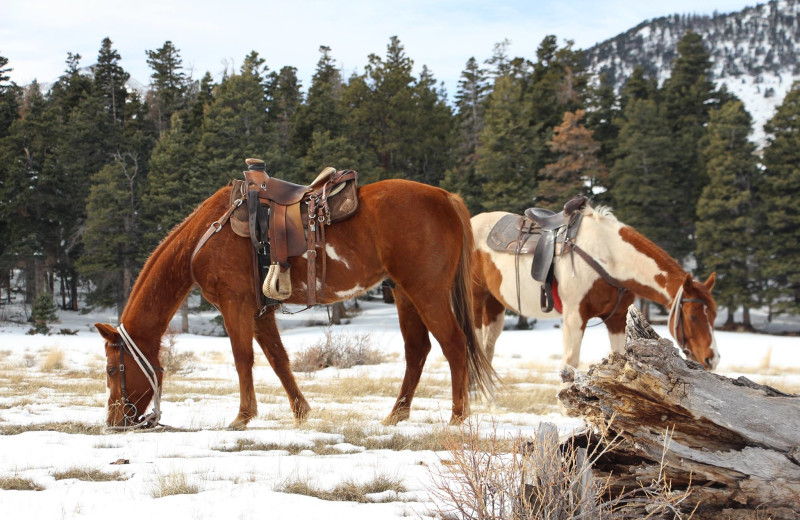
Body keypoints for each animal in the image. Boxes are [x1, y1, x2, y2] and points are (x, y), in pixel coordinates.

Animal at [94, 177, 494, 428]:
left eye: (113, 370)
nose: (114, 421)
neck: (208, 234)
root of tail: (444, 197)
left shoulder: (234, 304)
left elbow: (243, 359)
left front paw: (242, 416)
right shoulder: (260, 311)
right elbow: (278, 360)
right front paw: (301, 412)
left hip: (427, 292)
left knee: (454, 345)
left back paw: (457, 416)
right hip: (405, 293)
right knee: (417, 350)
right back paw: (396, 415)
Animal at [472, 203, 720, 370]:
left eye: (714, 315)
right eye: (693, 316)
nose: (713, 358)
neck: (609, 255)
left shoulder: (617, 319)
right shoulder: (574, 317)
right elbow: (570, 365)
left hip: (494, 304)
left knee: (488, 347)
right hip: (475, 301)